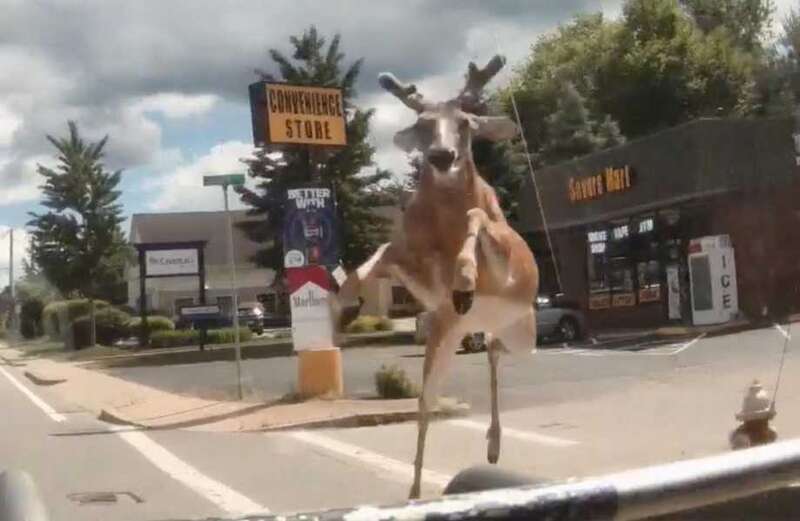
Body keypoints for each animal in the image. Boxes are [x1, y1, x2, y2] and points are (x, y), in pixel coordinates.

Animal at [332, 54, 536, 498]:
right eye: (423, 125)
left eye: (466, 123)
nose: (442, 156)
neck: (443, 231)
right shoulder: (416, 273)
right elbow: (375, 256)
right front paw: (346, 303)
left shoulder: (506, 265)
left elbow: (478, 217)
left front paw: (465, 279)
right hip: (450, 332)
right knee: (432, 396)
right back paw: (421, 486)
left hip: (522, 330)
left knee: (495, 351)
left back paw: (493, 445)